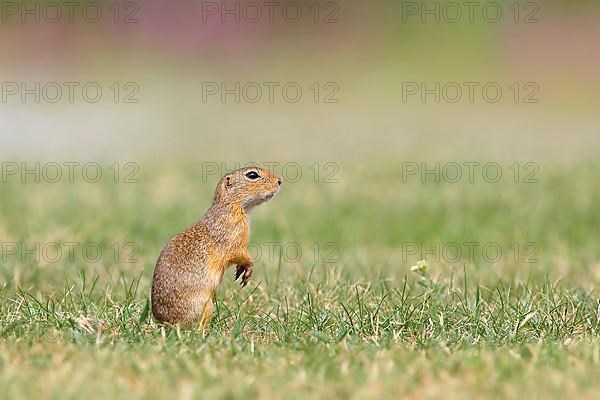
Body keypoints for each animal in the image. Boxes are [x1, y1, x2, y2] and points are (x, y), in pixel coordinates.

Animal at [150, 167, 282, 326]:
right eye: (252, 175)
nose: (280, 180)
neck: (231, 206)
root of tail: (165, 322)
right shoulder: (233, 236)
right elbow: (239, 254)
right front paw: (248, 269)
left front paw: (240, 270)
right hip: (206, 306)